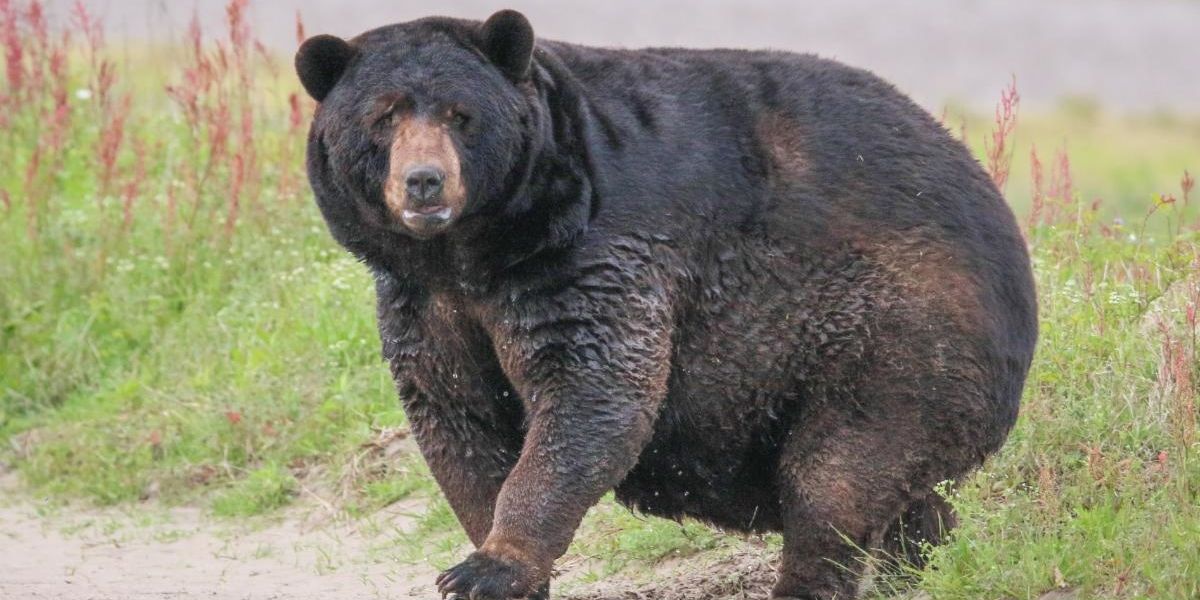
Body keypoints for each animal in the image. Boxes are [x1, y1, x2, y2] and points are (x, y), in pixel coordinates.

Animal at [294, 10, 1037, 600]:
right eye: (383, 115)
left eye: (459, 114)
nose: (424, 182)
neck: (480, 250)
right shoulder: (429, 303)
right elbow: (457, 416)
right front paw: (495, 563)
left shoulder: (593, 255)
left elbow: (593, 393)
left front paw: (489, 567)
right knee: (897, 492)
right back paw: (920, 558)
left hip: (897, 329)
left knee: (837, 477)